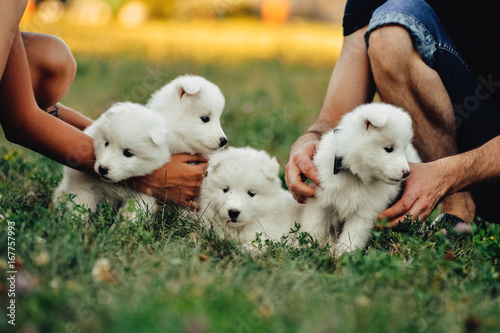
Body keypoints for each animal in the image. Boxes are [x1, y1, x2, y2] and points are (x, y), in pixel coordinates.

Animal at [300, 102, 422, 255]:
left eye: (403, 149)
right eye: (389, 149)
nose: (407, 173)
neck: (354, 175)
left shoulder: (364, 214)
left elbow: (351, 238)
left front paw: (342, 257)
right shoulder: (319, 202)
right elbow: (312, 227)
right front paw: (305, 249)